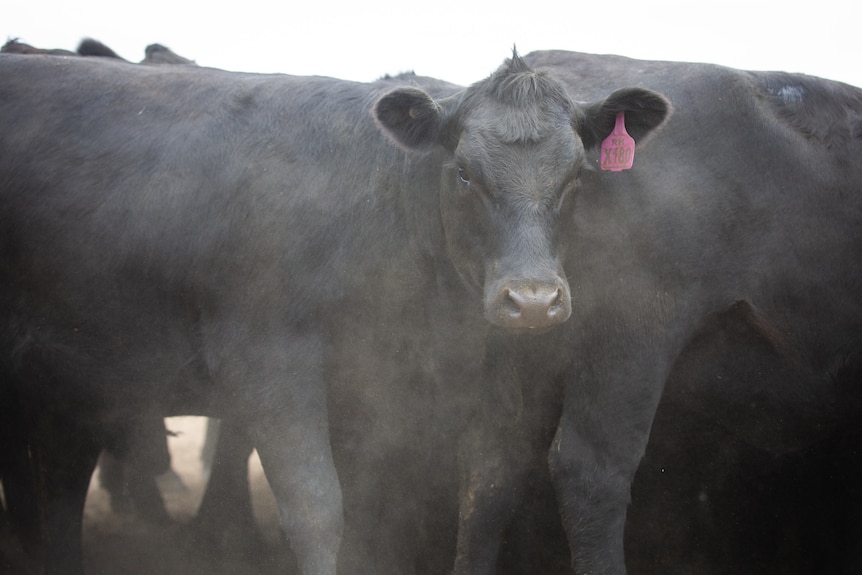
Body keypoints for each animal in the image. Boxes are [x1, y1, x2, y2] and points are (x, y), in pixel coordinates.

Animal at [0, 50, 668, 575]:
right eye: (463, 172)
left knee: (63, 481)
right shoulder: (265, 361)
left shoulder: (431, 383)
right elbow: (318, 508)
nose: (532, 300)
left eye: (577, 175)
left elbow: (464, 498)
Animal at [448, 50, 862, 575]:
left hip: (517, 346)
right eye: (464, 173)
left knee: (490, 470)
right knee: (589, 472)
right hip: (630, 342)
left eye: (576, 174)